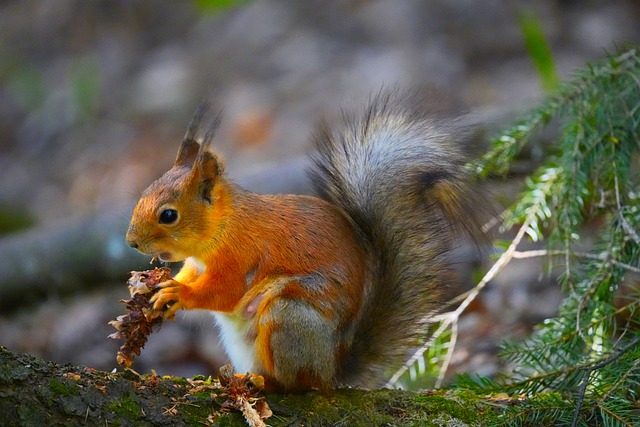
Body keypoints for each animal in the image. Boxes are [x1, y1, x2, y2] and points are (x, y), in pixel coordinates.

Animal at [125, 89, 484, 392]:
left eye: (168, 215)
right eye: (145, 191)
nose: (131, 242)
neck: (222, 227)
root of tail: (331, 371)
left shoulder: (241, 255)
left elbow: (223, 293)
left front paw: (178, 293)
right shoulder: (197, 262)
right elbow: (191, 275)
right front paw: (159, 289)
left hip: (288, 318)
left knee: (297, 384)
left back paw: (263, 382)